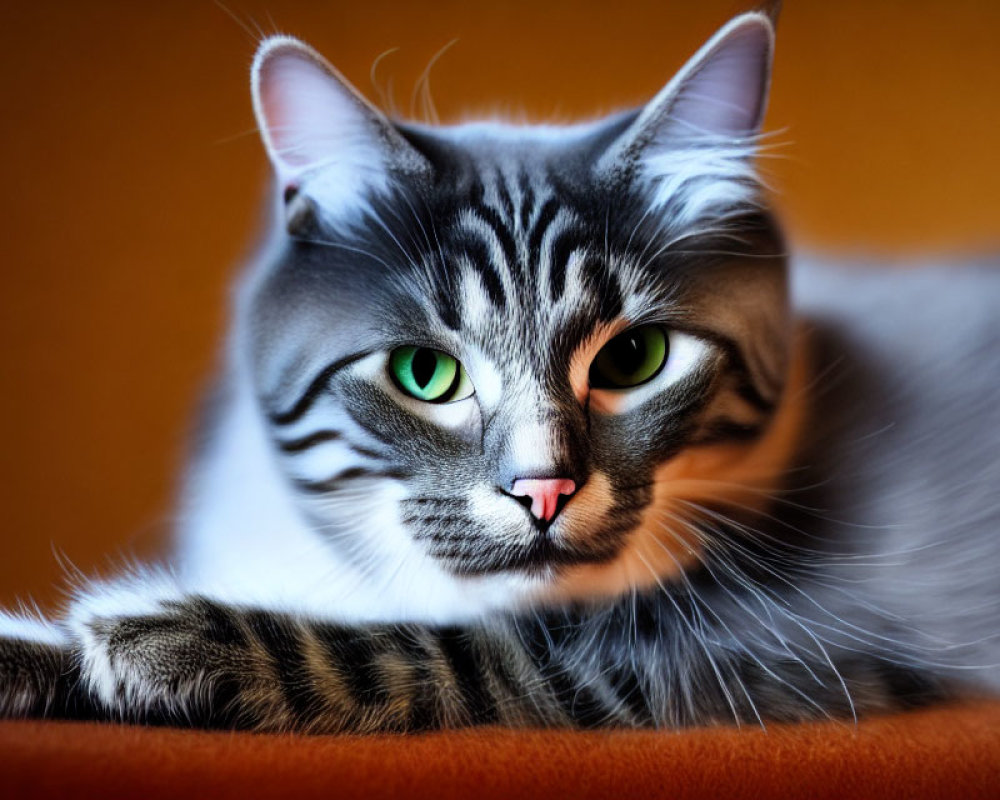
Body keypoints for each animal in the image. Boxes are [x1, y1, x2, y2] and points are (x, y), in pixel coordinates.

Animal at [1, 9, 1000, 732]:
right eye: (424, 374)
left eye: (634, 358)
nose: (544, 490)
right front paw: (33, 659)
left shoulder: (772, 640)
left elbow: (445, 650)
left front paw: (154, 641)